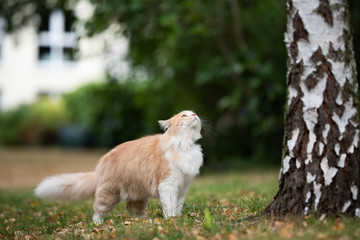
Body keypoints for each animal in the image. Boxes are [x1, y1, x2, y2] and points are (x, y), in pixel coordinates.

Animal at [35, 109, 204, 224]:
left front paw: (178, 218)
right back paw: (98, 225)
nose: (195, 115)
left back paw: (143, 222)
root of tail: (102, 162)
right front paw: (171, 220)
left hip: (138, 194)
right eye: (184, 116)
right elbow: (169, 206)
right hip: (109, 193)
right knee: (98, 210)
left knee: (133, 210)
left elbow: (178, 205)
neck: (184, 146)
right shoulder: (168, 185)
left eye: (193, 113)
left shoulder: (183, 187)